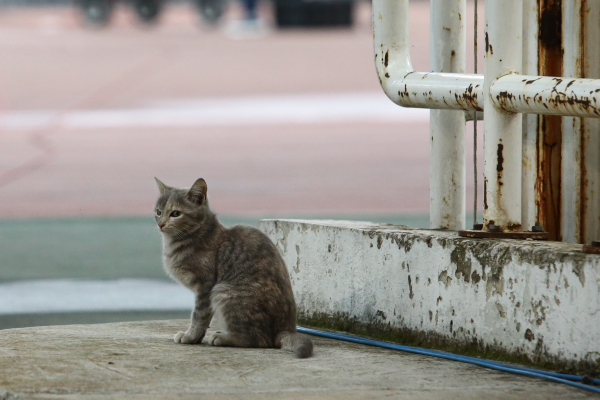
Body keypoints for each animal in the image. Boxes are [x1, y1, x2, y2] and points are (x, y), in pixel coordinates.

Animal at [154, 177, 314, 358]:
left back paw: (223, 337)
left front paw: (190, 336)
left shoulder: (205, 287)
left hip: (223, 291)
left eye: (175, 213)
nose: (161, 224)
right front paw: (196, 337)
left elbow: (199, 316)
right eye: (158, 212)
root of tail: (285, 329)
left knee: (260, 339)